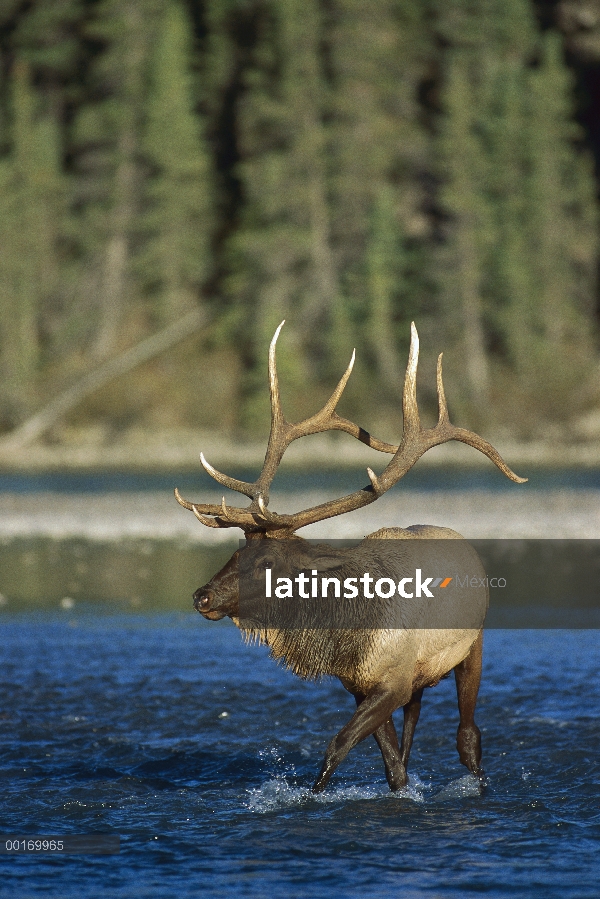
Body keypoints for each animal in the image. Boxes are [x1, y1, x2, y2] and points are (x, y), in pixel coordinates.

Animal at [176, 324, 528, 796]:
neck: (348, 633)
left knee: (468, 735)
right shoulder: (361, 686)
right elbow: (393, 767)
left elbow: (336, 747)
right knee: (416, 722)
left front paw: (309, 796)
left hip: (473, 645)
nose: (202, 596)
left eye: (268, 562)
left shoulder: (392, 683)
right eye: (237, 551)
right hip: (422, 676)